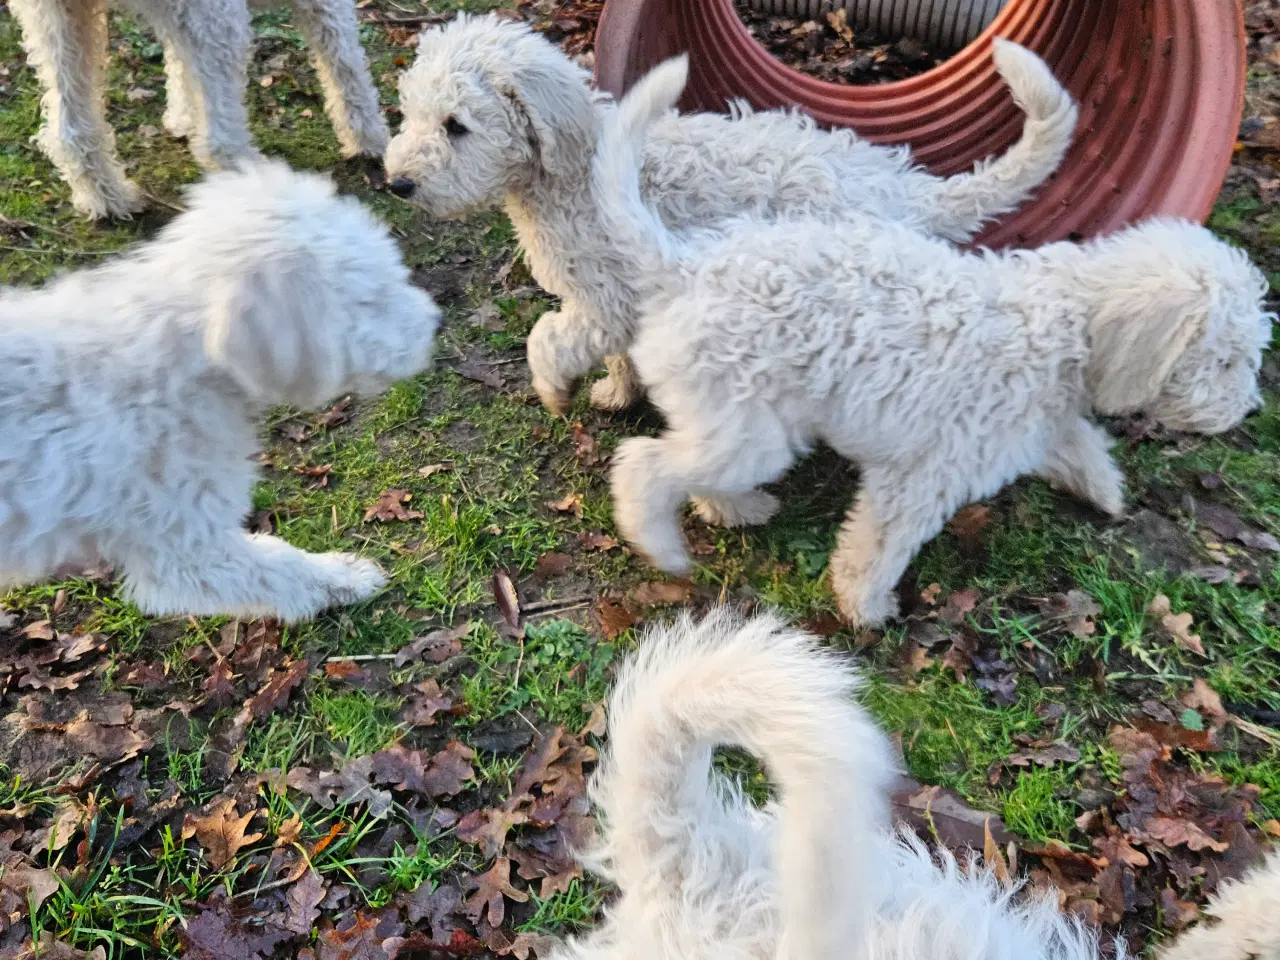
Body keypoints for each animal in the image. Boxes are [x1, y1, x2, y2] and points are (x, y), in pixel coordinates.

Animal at [0, 162, 440, 627]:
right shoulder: (188, 546)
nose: (436, 323)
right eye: (371, 299)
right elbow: (278, 569)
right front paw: (344, 576)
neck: (175, 352)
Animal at [10, 0, 386, 220]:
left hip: (57, 20)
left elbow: (180, 59)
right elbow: (344, 57)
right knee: (220, 139)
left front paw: (182, 117)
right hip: (219, 15)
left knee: (69, 129)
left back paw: (106, 198)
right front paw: (368, 136)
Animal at [381, 13, 1080, 414]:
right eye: (411, 113)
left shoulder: (607, 299)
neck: (570, 169)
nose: (396, 184)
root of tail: (908, 194)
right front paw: (617, 394)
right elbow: (616, 354)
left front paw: (555, 392)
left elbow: (547, 340)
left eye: (457, 126)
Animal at [596, 62, 1269, 632]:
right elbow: (878, 548)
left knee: (688, 468)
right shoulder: (920, 479)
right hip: (749, 434)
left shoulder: (1032, 426)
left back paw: (738, 510)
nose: (1250, 412)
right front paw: (866, 607)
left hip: (734, 426)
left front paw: (1106, 490)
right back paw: (662, 544)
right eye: (1226, 359)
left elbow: (1080, 442)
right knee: (643, 466)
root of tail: (684, 265)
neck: (1063, 324)